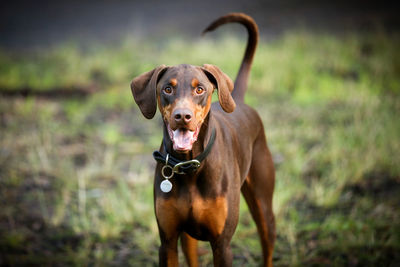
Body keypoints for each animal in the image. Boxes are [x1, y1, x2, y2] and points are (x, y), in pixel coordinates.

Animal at [131, 13, 276, 267]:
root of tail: (237, 99)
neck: (190, 165)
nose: (182, 116)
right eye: (167, 89)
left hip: (263, 204)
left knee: (267, 241)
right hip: (188, 237)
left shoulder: (222, 244)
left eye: (200, 89)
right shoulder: (167, 241)